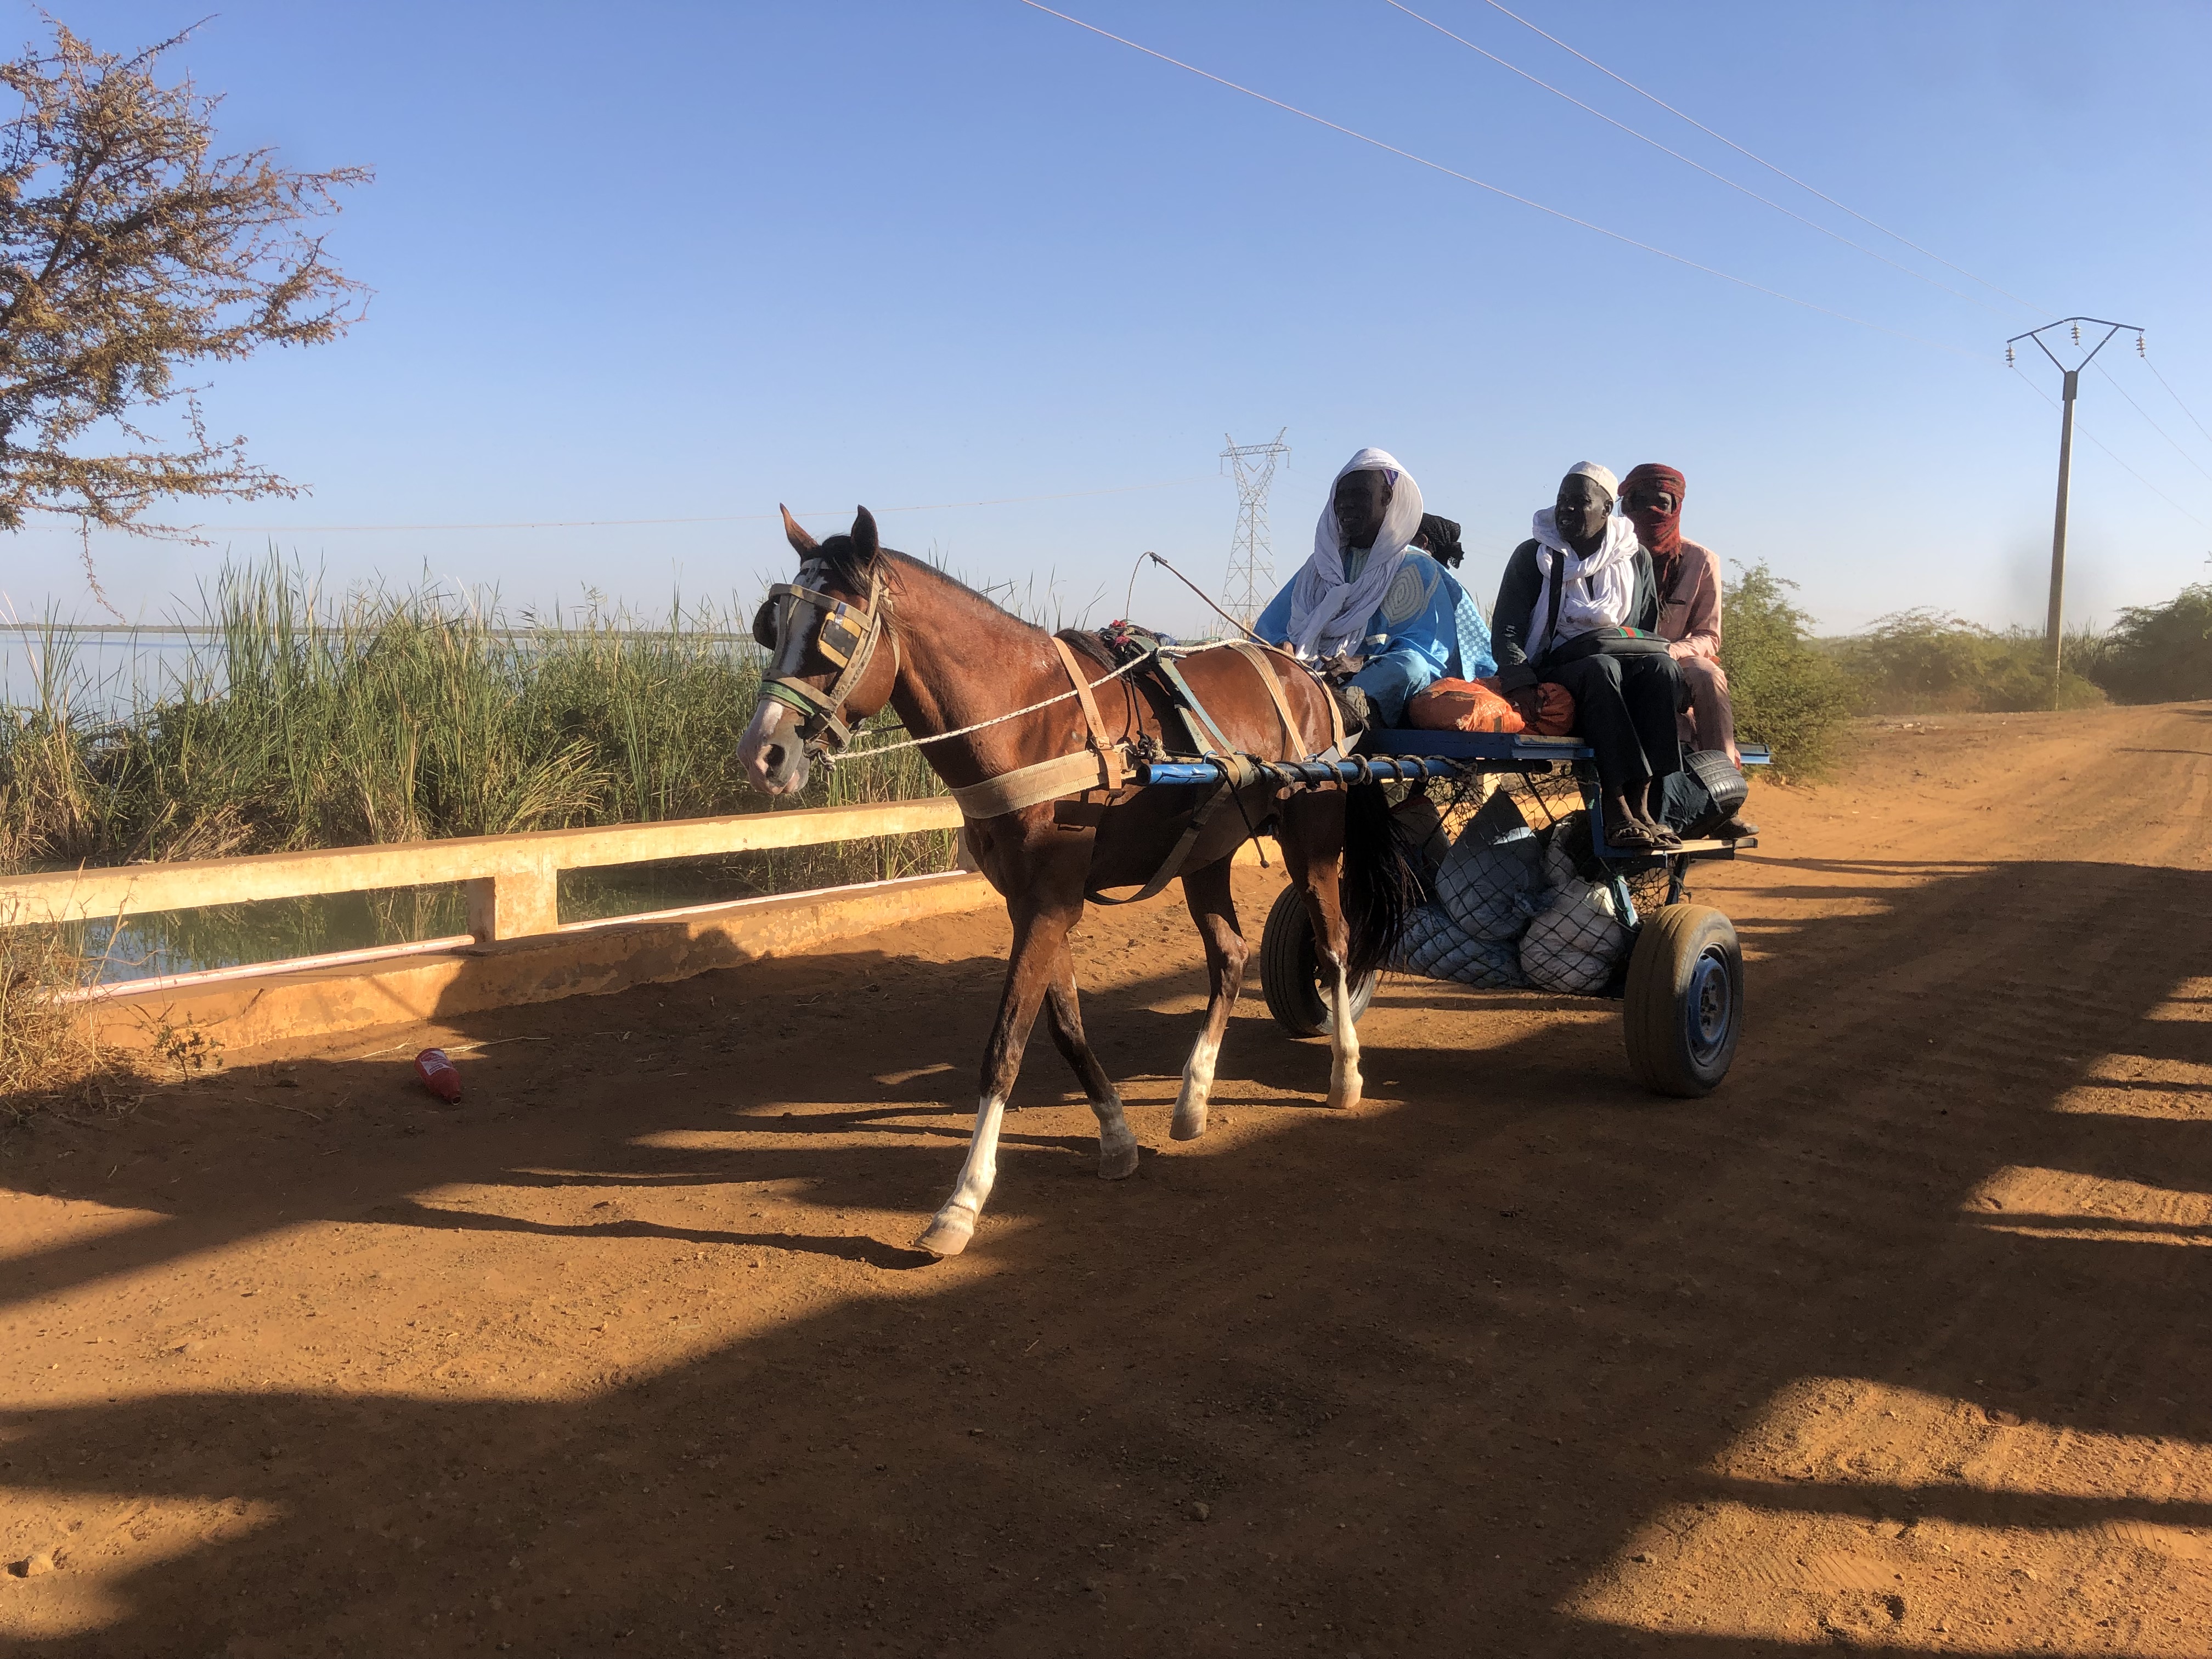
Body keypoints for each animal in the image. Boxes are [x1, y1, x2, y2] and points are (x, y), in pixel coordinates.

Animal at [743, 506, 1398, 1256]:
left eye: (834, 631)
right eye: (772, 623)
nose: (761, 754)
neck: (1030, 719)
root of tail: (1309, 673)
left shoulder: (1049, 904)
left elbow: (1005, 1046)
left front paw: (962, 1201)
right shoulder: (1033, 903)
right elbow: (1062, 1025)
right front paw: (1116, 1137)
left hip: (1312, 842)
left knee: (1334, 946)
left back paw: (1344, 1072)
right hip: (1205, 853)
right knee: (1231, 957)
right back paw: (1194, 1096)